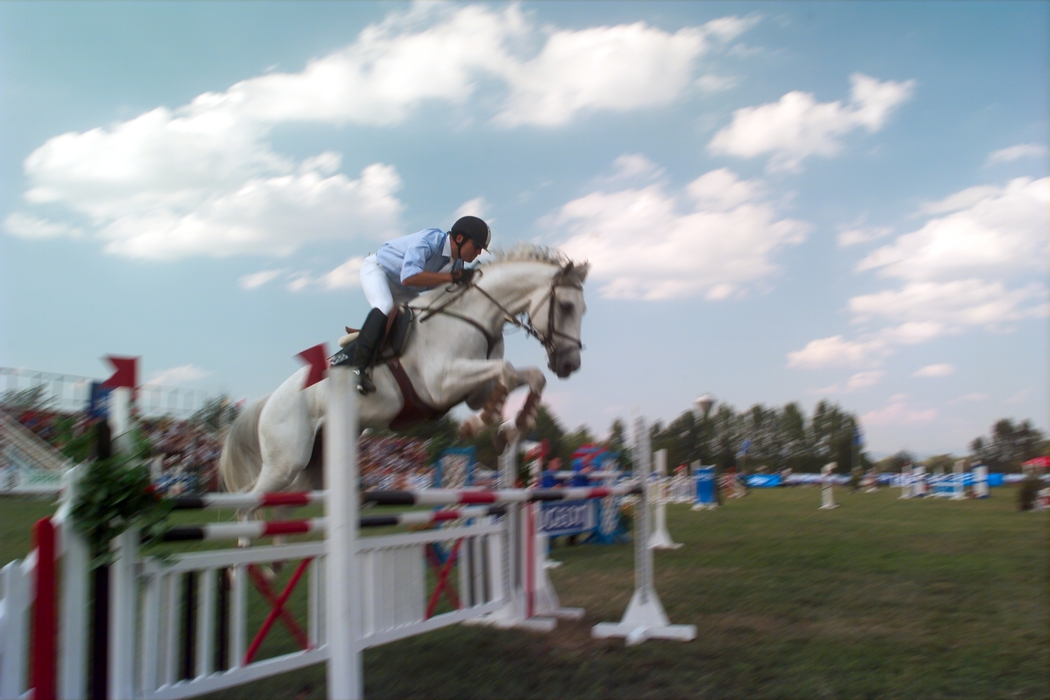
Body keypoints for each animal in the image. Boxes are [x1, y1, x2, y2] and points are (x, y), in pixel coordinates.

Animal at [220, 246, 588, 497]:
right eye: (566, 306)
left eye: (582, 309)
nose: (569, 365)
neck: (476, 315)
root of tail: (270, 400)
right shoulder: (442, 383)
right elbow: (507, 371)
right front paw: (482, 423)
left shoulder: (472, 389)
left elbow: (529, 376)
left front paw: (514, 426)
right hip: (286, 460)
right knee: (249, 503)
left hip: (315, 463)